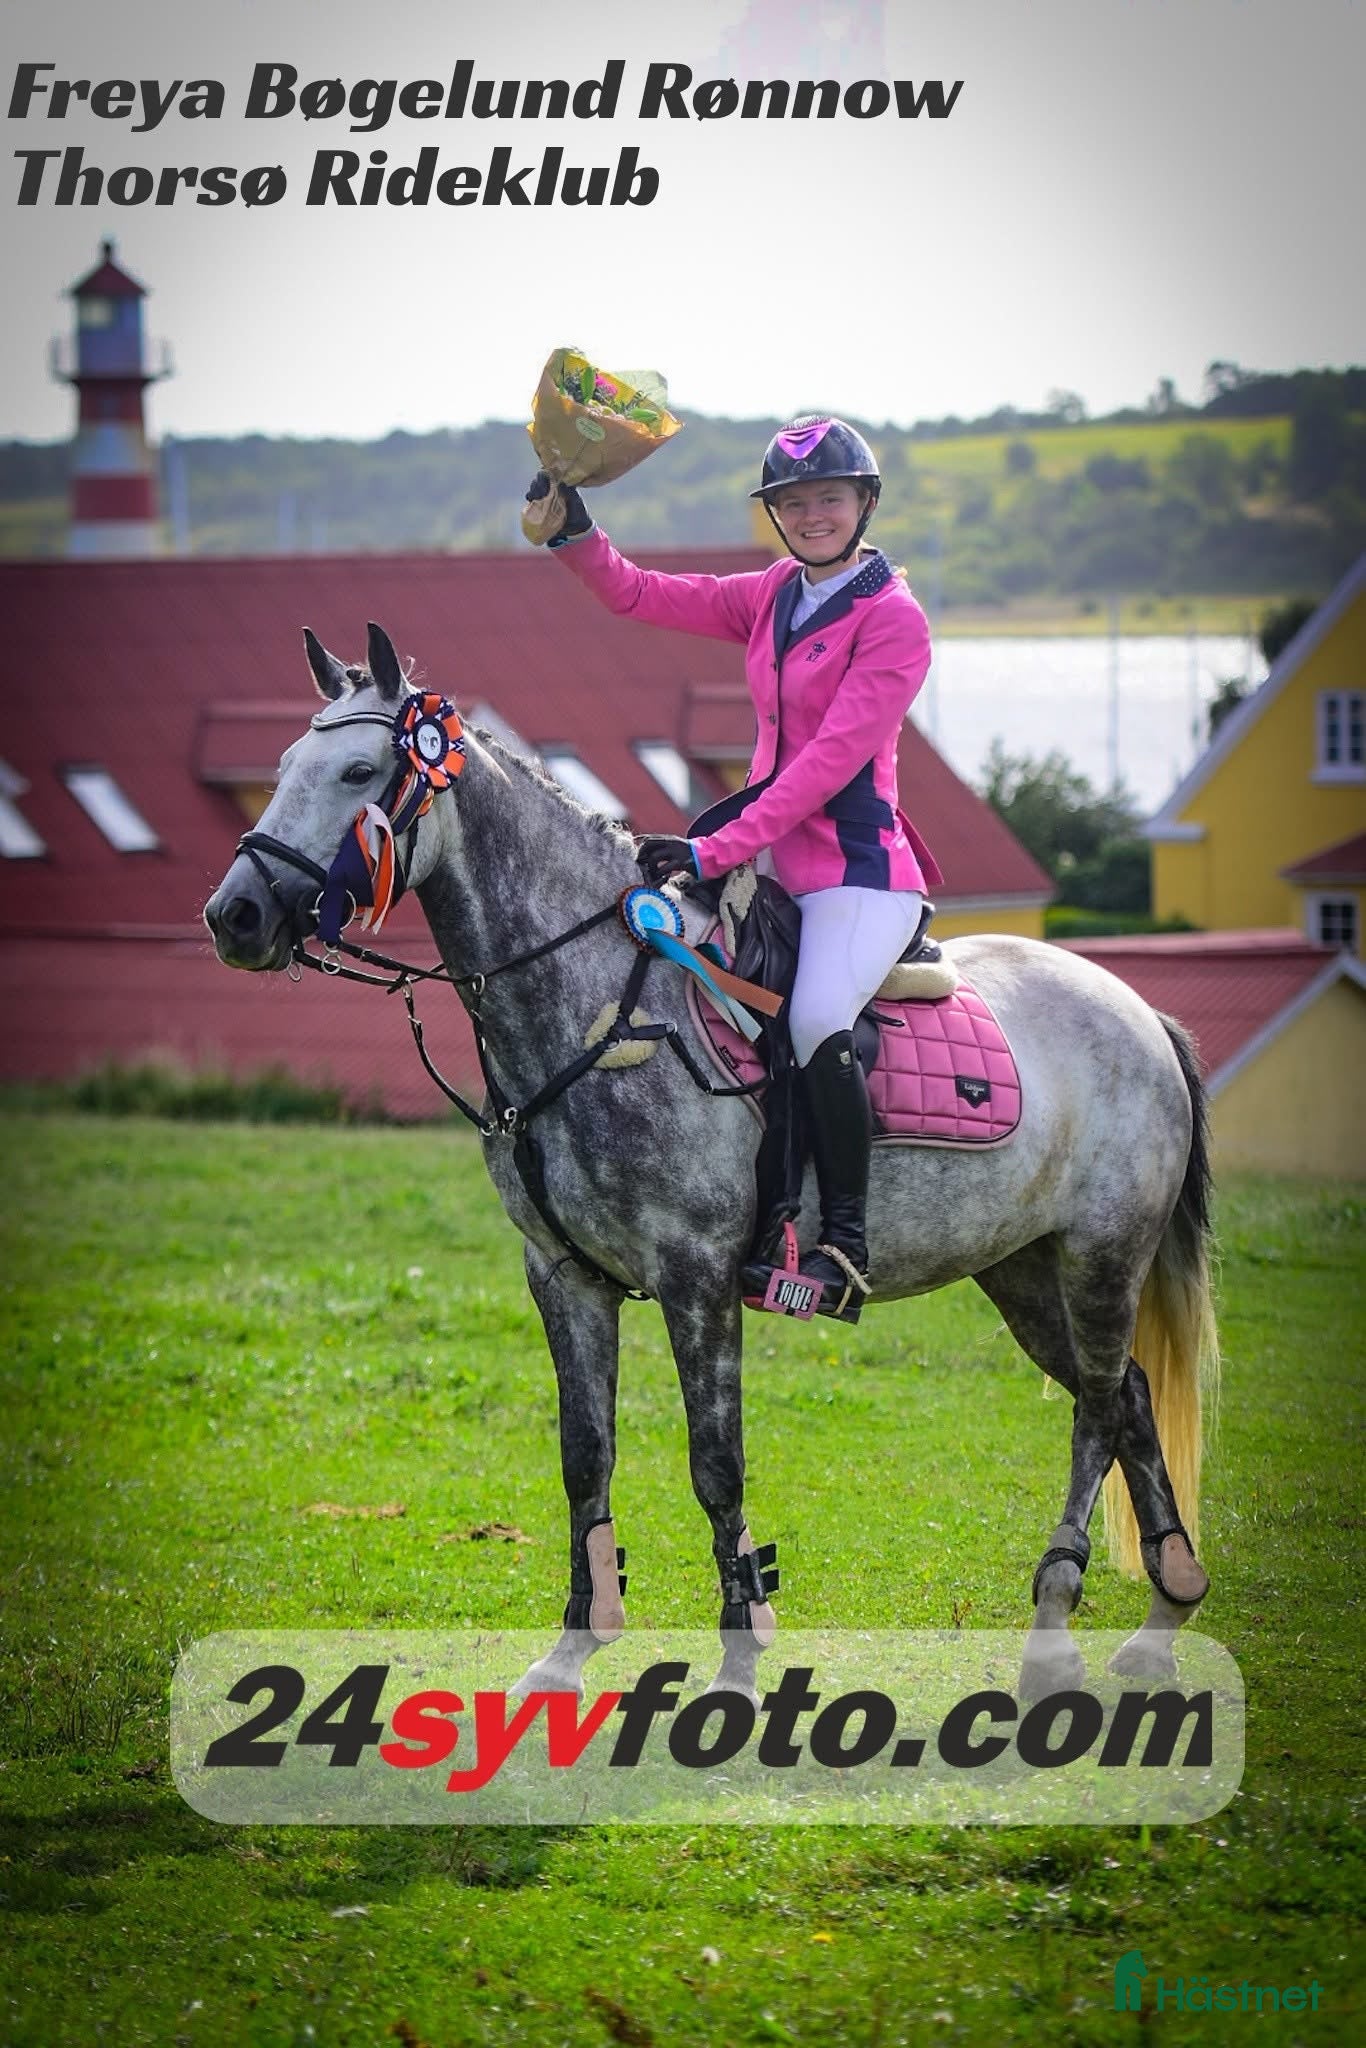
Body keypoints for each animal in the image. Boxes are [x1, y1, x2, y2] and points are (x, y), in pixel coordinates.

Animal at [204, 623, 1218, 1704]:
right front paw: (571, 1648)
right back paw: (1163, 1619)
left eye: (359, 772)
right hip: (1021, 1270)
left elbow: (714, 1464)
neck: (602, 1008)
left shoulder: (696, 1278)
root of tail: (1139, 1011)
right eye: (280, 768)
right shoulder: (563, 1276)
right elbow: (585, 1455)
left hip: (1099, 1258)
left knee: (1098, 1411)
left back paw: (1055, 1630)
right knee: (1127, 1399)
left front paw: (738, 1659)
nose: (235, 916)